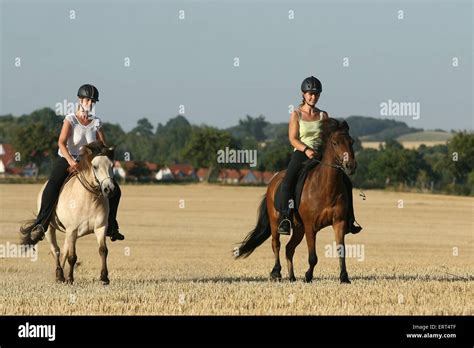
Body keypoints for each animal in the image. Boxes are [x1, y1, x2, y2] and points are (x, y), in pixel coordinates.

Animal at [20, 141, 116, 286]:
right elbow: (72, 256)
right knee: (56, 250)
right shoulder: (72, 230)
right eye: (95, 166)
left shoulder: (100, 228)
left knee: (63, 251)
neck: (89, 198)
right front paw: (70, 279)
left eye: (112, 165)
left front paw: (104, 278)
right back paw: (60, 276)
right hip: (50, 229)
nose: (109, 189)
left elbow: (103, 250)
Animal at [233, 118, 360, 284]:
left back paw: (292, 277)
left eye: (351, 142)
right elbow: (313, 257)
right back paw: (276, 273)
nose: (350, 166)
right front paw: (308, 277)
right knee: (276, 244)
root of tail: (273, 180)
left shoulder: (339, 223)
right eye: (335, 143)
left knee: (289, 248)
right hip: (276, 222)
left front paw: (344, 277)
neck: (326, 187)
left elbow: (341, 251)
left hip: (299, 228)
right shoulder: (310, 226)